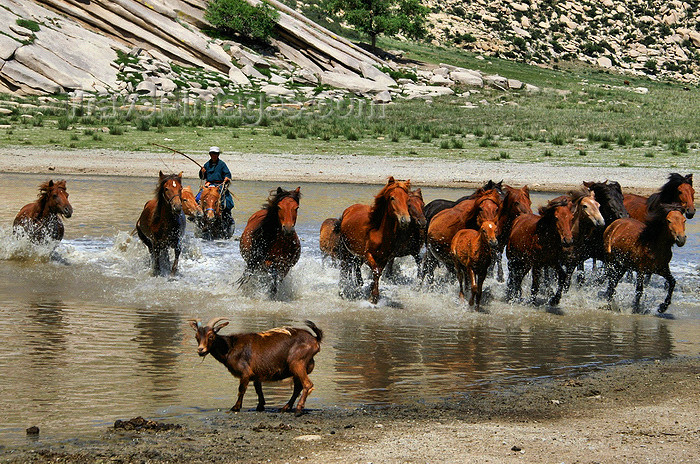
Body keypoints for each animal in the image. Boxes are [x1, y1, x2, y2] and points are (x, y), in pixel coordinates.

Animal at [187, 320, 322, 414]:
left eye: (211, 336)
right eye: (196, 337)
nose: (201, 350)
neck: (230, 346)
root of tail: (315, 339)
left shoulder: (245, 373)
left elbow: (241, 389)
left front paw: (235, 407)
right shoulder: (257, 374)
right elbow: (258, 390)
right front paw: (260, 406)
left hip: (297, 363)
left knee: (307, 384)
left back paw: (298, 409)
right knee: (298, 387)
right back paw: (285, 408)